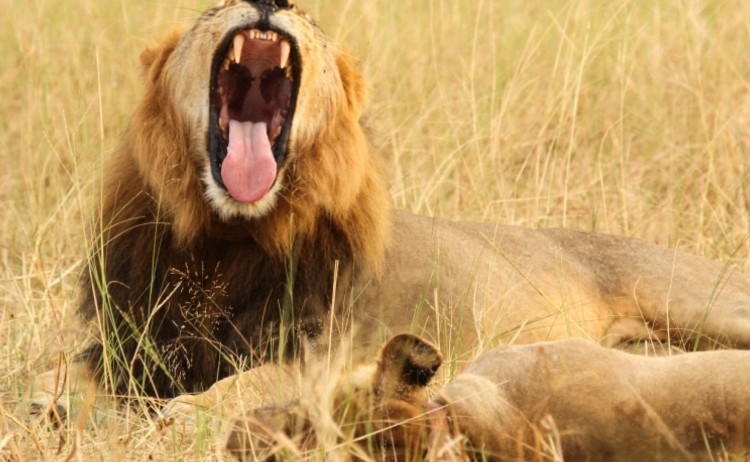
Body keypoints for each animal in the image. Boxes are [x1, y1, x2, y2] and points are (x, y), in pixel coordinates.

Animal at [27, 0, 750, 420]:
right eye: (214, 6)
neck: (226, 237)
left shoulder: (342, 342)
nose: (268, 1)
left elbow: (263, 380)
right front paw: (47, 396)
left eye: (306, 17)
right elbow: (68, 365)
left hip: (700, 299)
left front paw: (192, 413)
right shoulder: (142, 336)